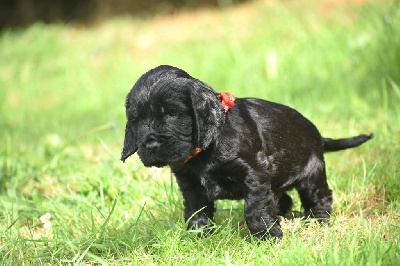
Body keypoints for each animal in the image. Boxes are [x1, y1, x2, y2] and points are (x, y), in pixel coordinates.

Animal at [121, 64, 372, 239]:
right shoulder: (190, 183)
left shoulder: (254, 173)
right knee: (284, 199)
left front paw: (267, 237)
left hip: (312, 173)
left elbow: (255, 209)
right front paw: (198, 237)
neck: (209, 146)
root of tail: (318, 135)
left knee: (320, 197)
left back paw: (318, 222)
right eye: (137, 120)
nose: (150, 145)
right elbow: (195, 210)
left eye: (172, 114)